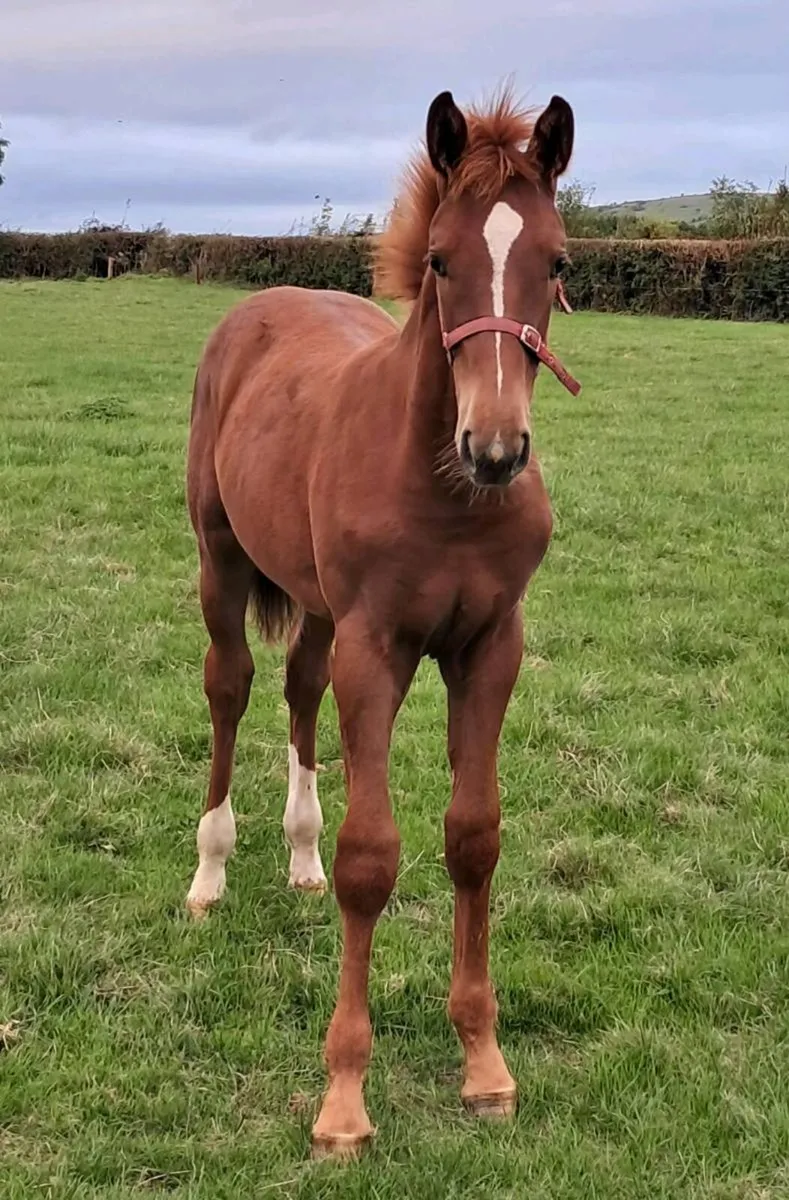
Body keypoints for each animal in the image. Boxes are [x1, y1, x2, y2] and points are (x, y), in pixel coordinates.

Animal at [184, 85, 580, 1158]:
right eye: (440, 260)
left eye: (558, 262)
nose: (495, 448)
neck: (444, 493)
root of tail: (262, 304)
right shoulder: (379, 649)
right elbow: (375, 858)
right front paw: (343, 1102)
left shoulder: (489, 648)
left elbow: (473, 837)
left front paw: (484, 1066)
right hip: (221, 562)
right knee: (231, 689)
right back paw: (210, 873)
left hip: (320, 609)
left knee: (299, 689)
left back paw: (300, 860)